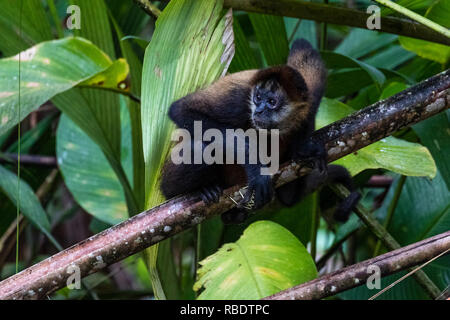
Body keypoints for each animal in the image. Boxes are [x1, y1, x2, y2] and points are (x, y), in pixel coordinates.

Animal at [160, 40, 360, 224]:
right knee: (201, 147)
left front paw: (304, 149)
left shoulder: (308, 102)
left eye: (272, 102)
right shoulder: (238, 100)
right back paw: (201, 190)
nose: (259, 111)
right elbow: (181, 109)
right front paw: (255, 167)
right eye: (257, 97)